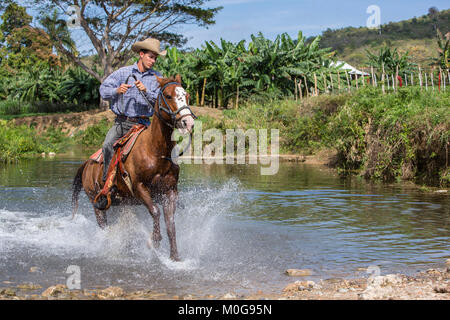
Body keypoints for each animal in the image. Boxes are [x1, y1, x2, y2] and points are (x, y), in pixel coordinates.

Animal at [71, 75, 194, 260]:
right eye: (168, 95)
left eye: (186, 95)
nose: (188, 122)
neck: (155, 151)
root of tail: (86, 165)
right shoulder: (139, 187)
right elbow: (155, 211)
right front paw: (154, 241)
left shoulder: (170, 191)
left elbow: (170, 223)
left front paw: (175, 257)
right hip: (97, 202)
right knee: (104, 226)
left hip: (121, 204)